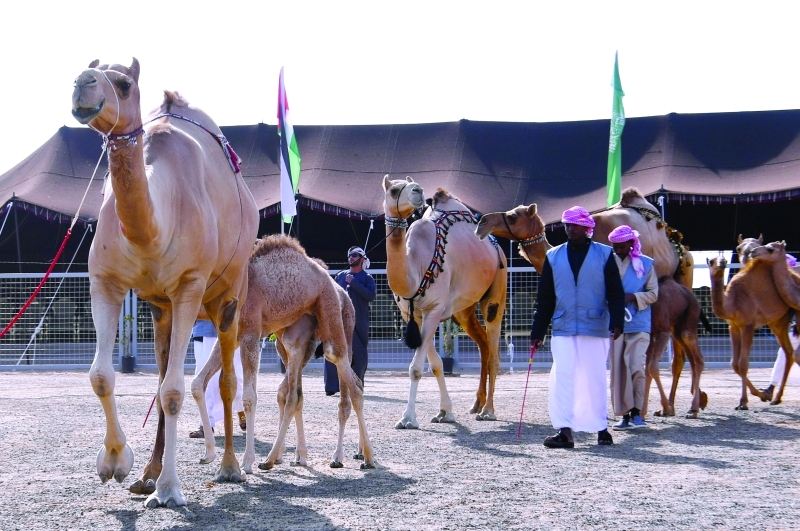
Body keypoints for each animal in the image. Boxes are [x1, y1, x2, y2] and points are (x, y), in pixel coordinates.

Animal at [72, 58, 258, 508]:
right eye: (87, 69)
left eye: (123, 83)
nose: (82, 84)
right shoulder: (105, 282)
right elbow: (102, 375)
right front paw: (116, 463)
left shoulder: (189, 285)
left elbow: (174, 390)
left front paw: (171, 489)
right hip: (162, 310)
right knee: (159, 377)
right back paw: (148, 474)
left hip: (230, 295)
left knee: (226, 381)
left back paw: (230, 467)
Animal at [191, 237, 376, 474]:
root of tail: (339, 289)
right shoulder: (233, 335)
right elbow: (197, 383)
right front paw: (209, 454)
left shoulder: (250, 332)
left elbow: (250, 397)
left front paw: (247, 461)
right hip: (295, 337)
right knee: (299, 392)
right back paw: (290, 457)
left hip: (334, 316)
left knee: (346, 380)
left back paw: (357, 457)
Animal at [382, 176, 506, 428]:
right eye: (394, 190)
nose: (418, 190)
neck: (415, 271)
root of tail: (495, 245)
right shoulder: (413, 315)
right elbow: (436, 364)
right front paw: (445, 412)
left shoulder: (434, 309)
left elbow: (416, 368)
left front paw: (408, 418)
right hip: (464, 310)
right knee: (483, 345)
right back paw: (476, 404)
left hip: (497, 288)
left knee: (494, 351)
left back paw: (488, 410)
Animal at [708, 256, 792, 410]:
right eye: (711, 261)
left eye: (723, 258)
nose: (722, 262)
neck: (732, 304)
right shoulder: (733, 327)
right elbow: (734, 364)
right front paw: (763, 395)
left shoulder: (748, 326)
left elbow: (743, 364)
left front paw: (744, 402)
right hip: (779, 321)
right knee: (789, 352)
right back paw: (776, 397)